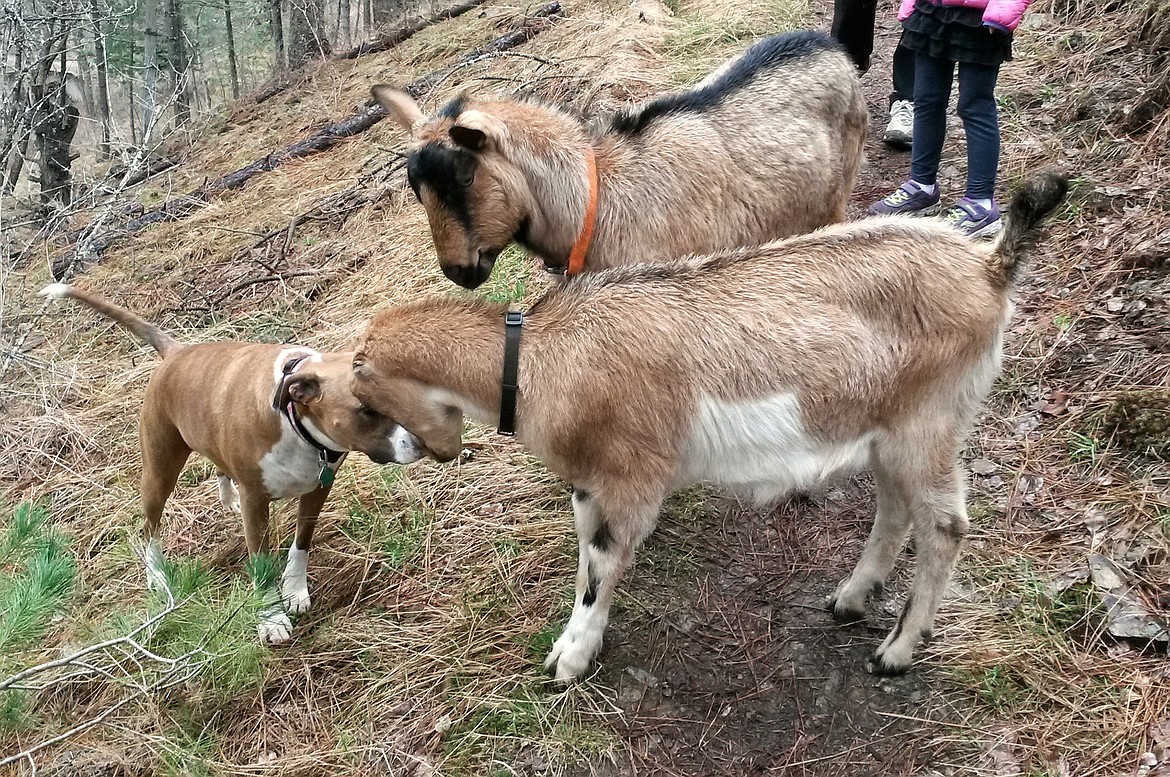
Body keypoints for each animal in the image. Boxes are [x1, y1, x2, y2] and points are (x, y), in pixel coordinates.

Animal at [41, 285, 425, 641]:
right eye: (365, 409)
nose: (422, 442)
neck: (294, 423)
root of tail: (175, 353)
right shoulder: (256, 503)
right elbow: (261, 565)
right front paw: (271, 619)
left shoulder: (319, 487)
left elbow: (301, 543)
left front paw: (294, 590)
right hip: (158, 473)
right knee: (149, 528)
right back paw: (158, 576)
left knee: (218, 467)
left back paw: (226, 497)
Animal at [343, 173, 1071, 683]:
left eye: (364, 397)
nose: (390, 456)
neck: (543, 356)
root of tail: (989, 266)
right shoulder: (590, 483)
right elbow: (585, 559)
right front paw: (573, 644)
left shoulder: (629, 481)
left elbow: (601, 567)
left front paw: (570, 660)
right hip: (885, 429)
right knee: (895, 509)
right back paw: (850, 598)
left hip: (929, 421)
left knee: (944, 526)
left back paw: (895, 651)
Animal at [369, 28, 865, 287]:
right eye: (418, 192)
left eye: (467, 176)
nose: (458, 271)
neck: (597, 199)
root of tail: (826, 42)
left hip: (839, 191)